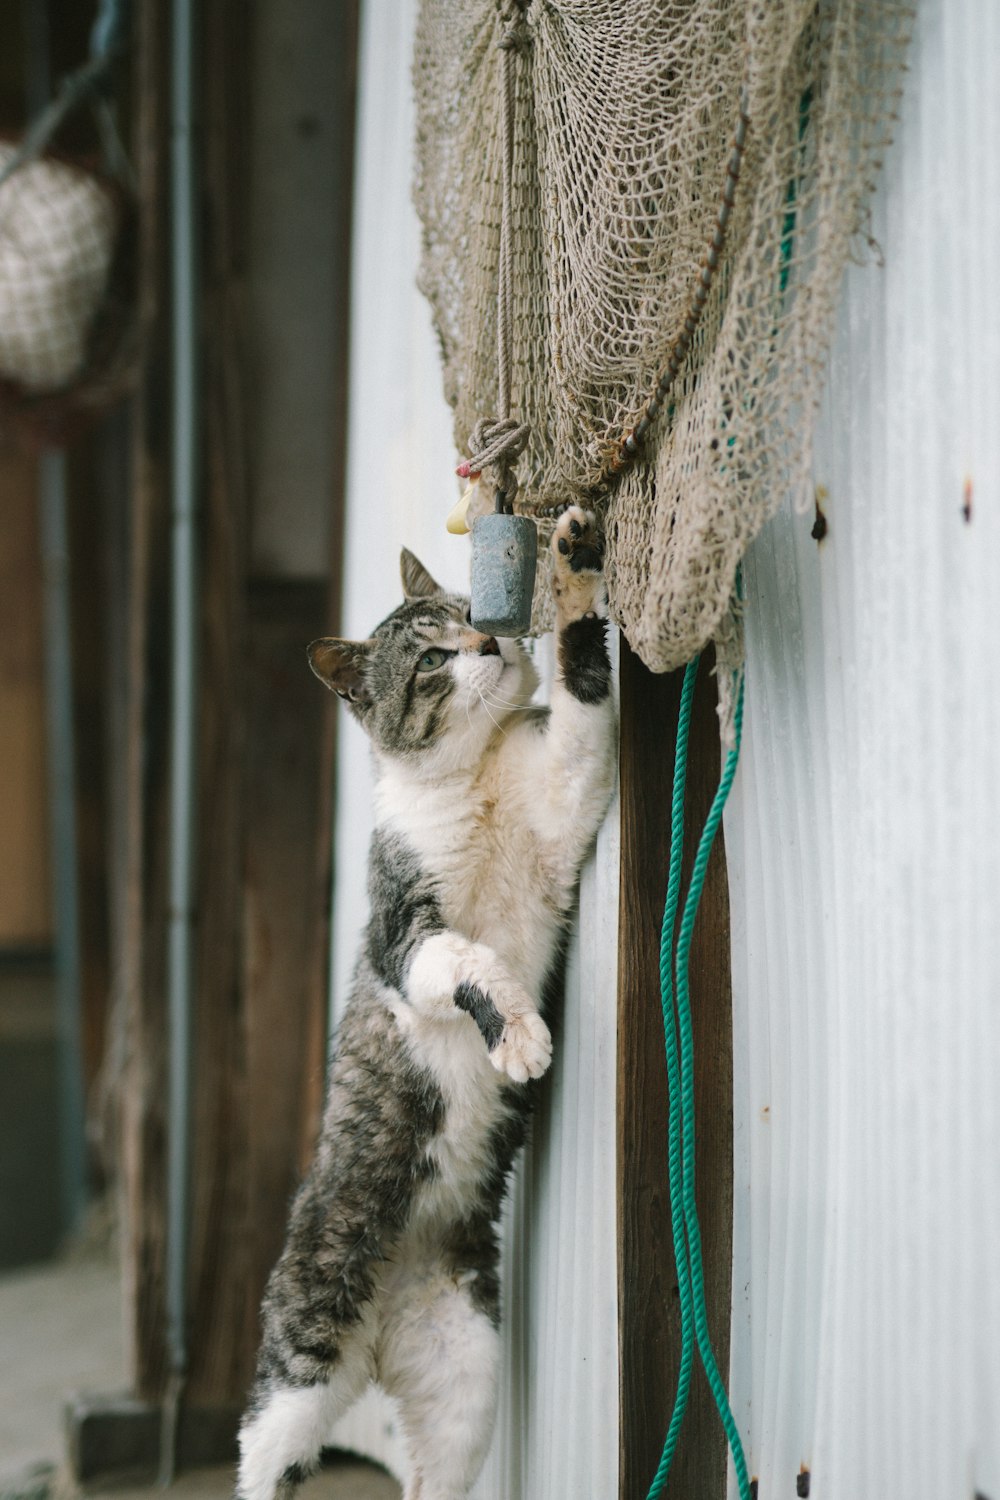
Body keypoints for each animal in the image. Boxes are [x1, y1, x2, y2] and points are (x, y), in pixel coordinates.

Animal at [238, 507, 617, 1500]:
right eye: (433, 659)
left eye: (469, 612)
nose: (486, 641)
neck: (475, 778)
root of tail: (376, 1337)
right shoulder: (402, 932)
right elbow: (468, 961)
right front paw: (518, 1035)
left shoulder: (567, 795)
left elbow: (584, 699)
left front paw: (574, 566)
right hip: (301, 1361)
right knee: (262, 1456)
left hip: (464, 1379)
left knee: (434, 1474)